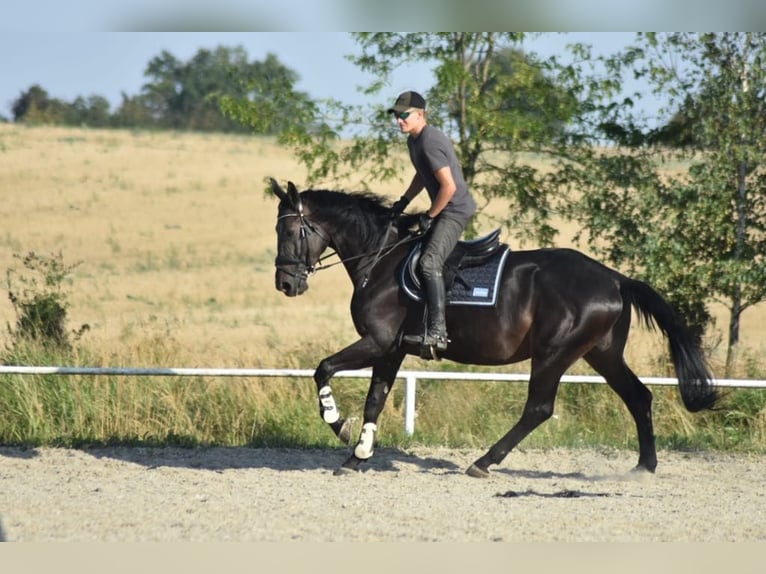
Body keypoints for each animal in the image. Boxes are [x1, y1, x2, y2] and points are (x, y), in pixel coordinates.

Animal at [272, 179, 720, 476]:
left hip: (554, 353)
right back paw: (644, 466)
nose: (285, 285)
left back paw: (484, 461)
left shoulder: (377, 341)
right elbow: (375, 400)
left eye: (290, 230)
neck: (381, 258)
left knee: (539, 408)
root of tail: (615, 279)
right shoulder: (391, 349)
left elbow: (324, 369)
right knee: (639, 396)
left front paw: (339, 425)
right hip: (602, 352)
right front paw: (358, 456)